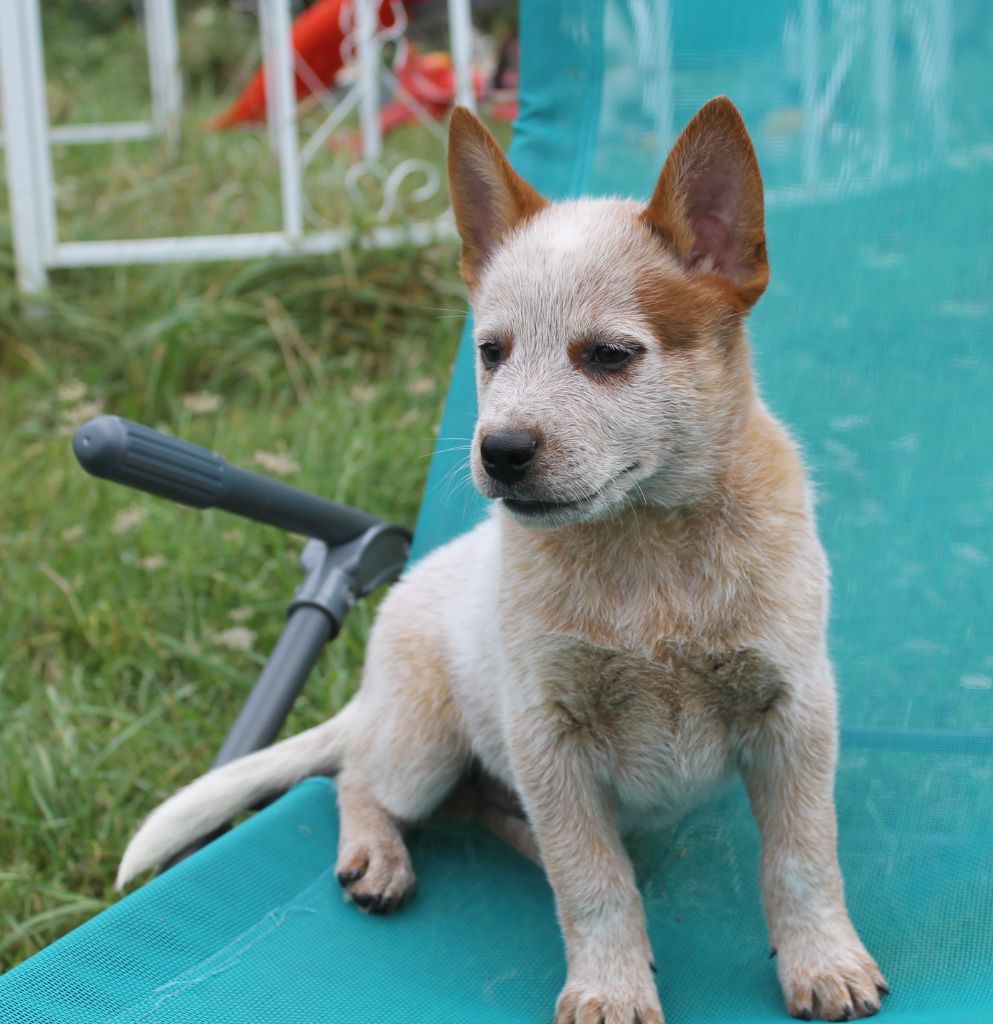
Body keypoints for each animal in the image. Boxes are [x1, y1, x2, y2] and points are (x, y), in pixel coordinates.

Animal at [119, 101, 884, 1024]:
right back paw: (377, 856)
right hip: (423, 746)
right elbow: (590, 882)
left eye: (609, 355)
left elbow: (801, 858)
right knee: (358, 779)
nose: (500, 450)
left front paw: (822, 961)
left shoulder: (793, 711)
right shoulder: (547, 734)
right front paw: (609, 987)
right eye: (490, 351)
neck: (648, 556)